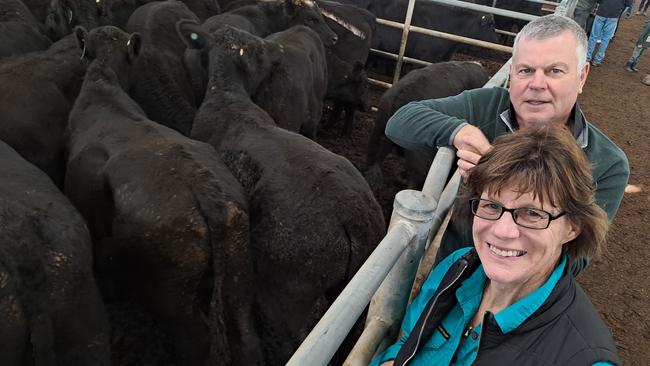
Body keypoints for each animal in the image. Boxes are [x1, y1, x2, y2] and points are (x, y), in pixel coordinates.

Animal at [66, 25, 258, 364]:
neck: (102, 85)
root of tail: (207, 192)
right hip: (239, 276)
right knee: (246, 334)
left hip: (168, 290)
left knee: (194, 340)